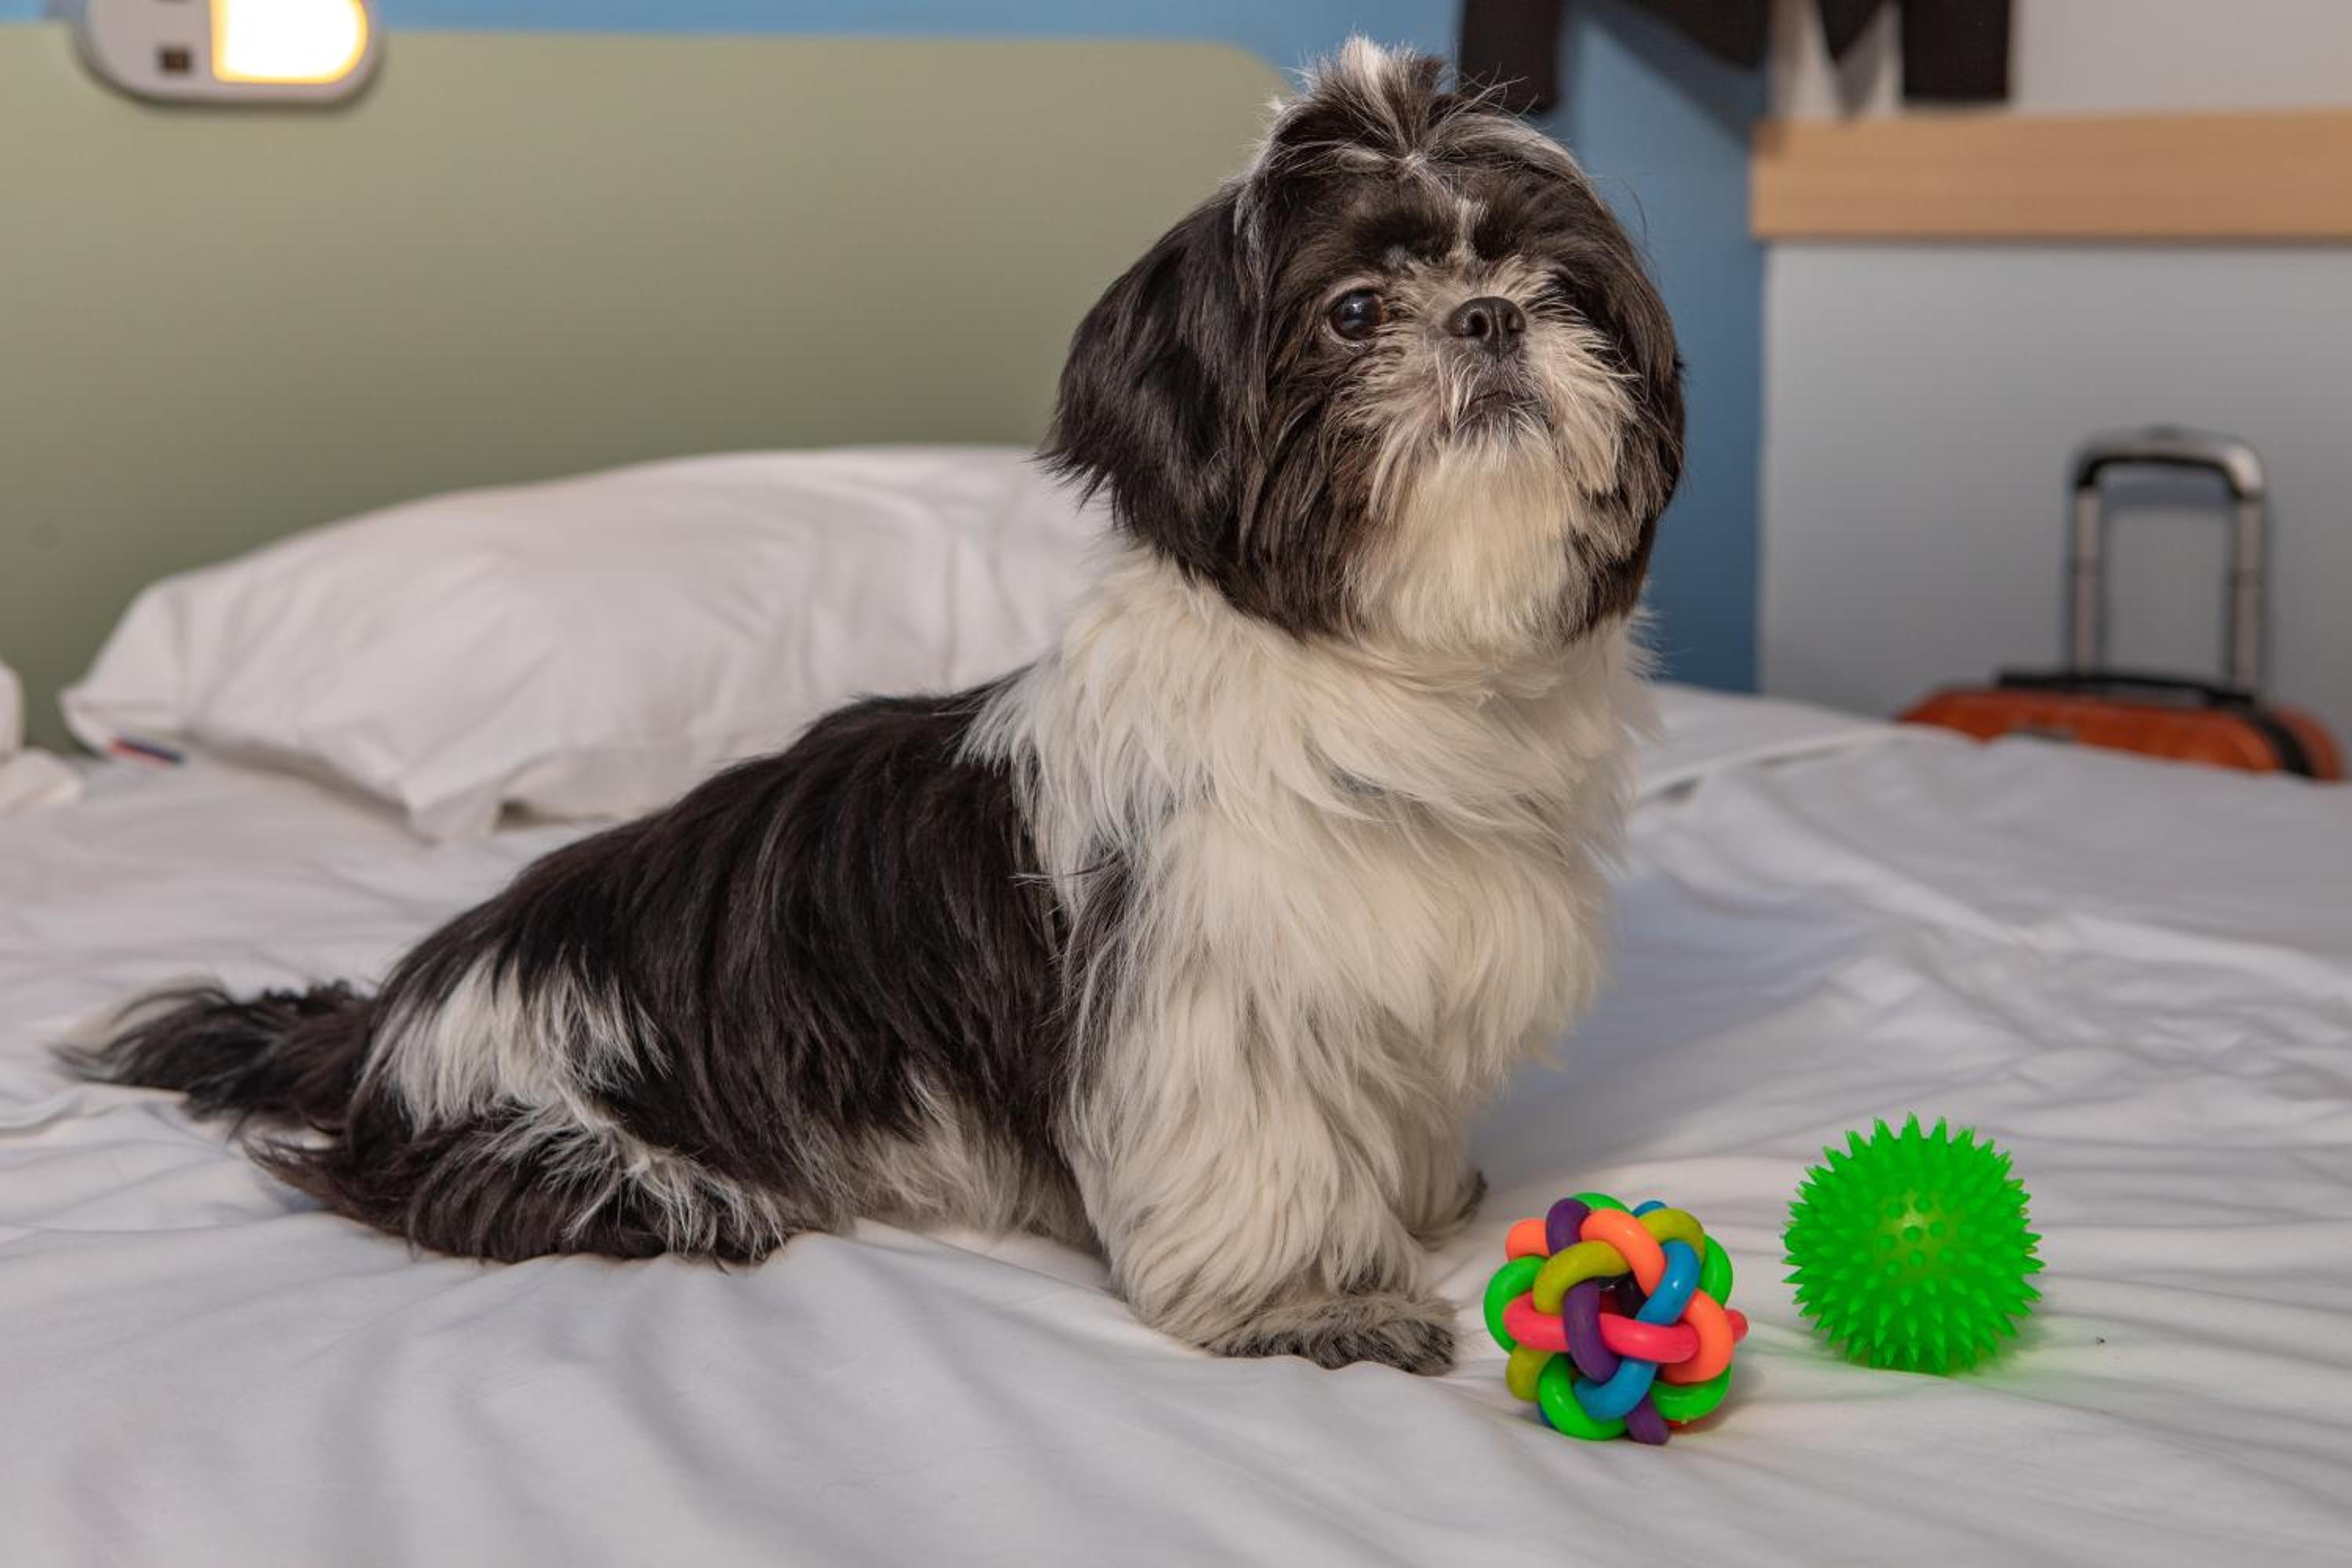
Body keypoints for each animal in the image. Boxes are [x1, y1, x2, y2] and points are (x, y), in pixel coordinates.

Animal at [73, 40, 1682, 1374]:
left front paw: (1421, 1201)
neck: (1389, 680)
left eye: (1558, 288)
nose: (1490, 317)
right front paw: (1316, 1301)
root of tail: (392, 1020)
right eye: (1354, 312)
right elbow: (1262, 1161)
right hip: (564, 1139)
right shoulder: (1204, 994)